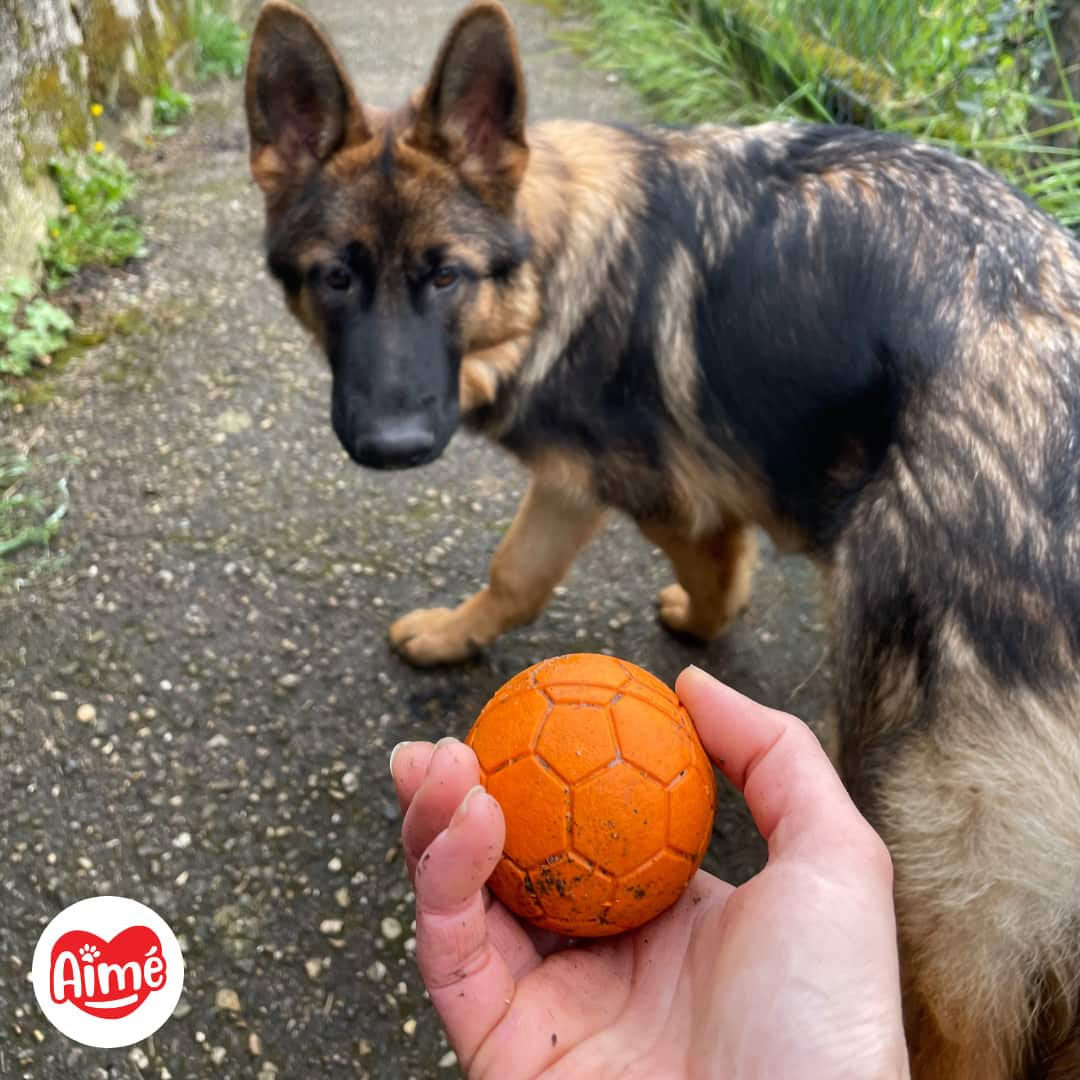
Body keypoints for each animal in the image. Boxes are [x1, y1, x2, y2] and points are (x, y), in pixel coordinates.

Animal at [247, 4, 1080, 1075]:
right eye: (337, 278)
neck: (556, 252)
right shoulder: (598, 485)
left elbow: (563, 570)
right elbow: (544, 572)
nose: (393, 445)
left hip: (930, 840)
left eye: (446, 277)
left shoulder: (635, 490)